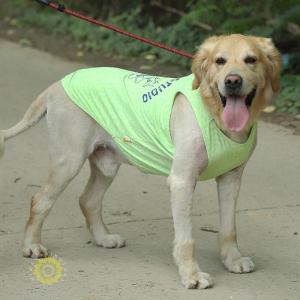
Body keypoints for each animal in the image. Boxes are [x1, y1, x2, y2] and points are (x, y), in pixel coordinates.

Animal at [0, 34, 282, 290]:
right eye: (219, 61)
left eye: (251, 60)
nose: (232, 82)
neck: (214, 113)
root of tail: (57, 84)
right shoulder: (182, 181)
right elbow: (186, 239)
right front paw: (191, 275)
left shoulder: (231, 179)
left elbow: (228, 227)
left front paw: (232, 260)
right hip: (68, 160)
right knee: (40, 201)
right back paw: (31, 246)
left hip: (106, 163)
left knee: (88, 200)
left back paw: (103, 238)